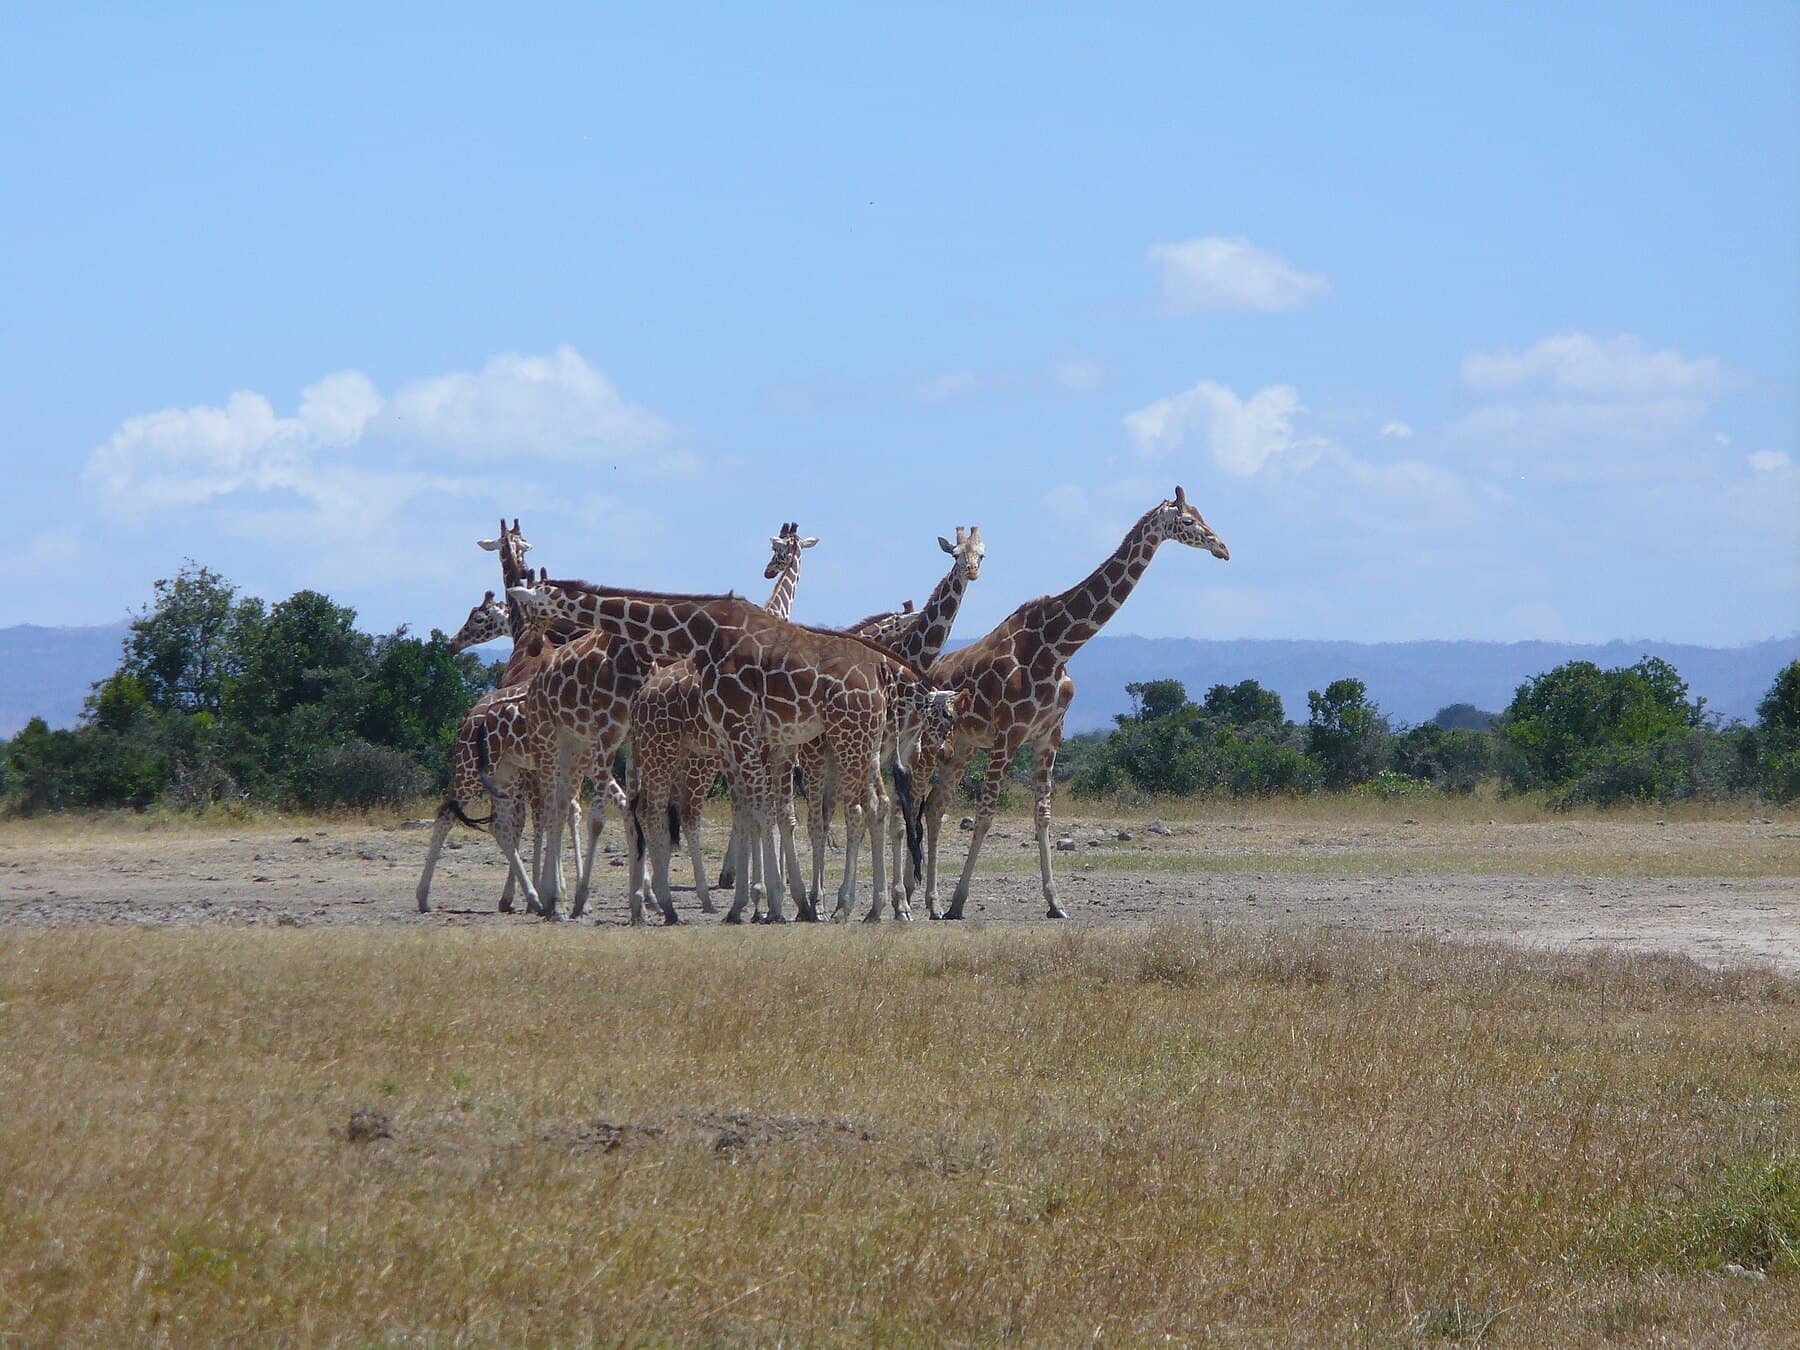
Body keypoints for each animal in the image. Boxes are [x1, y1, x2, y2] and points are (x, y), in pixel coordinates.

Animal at [506, 582, 952, 925]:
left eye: (537, 602)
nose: (534, 645)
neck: (699, 634)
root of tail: (879, 671)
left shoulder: (741, 730)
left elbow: (762, 813)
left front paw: (773, 905)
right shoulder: (739, 736)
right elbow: (756, 814)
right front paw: (758, 904)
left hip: (852, 736)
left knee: (871, 806)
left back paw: (859, 906)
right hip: (860, 739)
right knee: (877, 806)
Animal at [921, 488, 1227, 920]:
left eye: (1202, 514)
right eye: (1187, 521)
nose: (1223, 548)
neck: (1057, 646)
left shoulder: (1049, 734)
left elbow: (1043, 814)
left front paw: (1056, 903)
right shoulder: (1008, 735)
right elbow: (985, 814)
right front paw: (959, 902)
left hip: (962, 746)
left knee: (935, 806)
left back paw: (930, 902)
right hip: (929, 743)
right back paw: (917, 900)